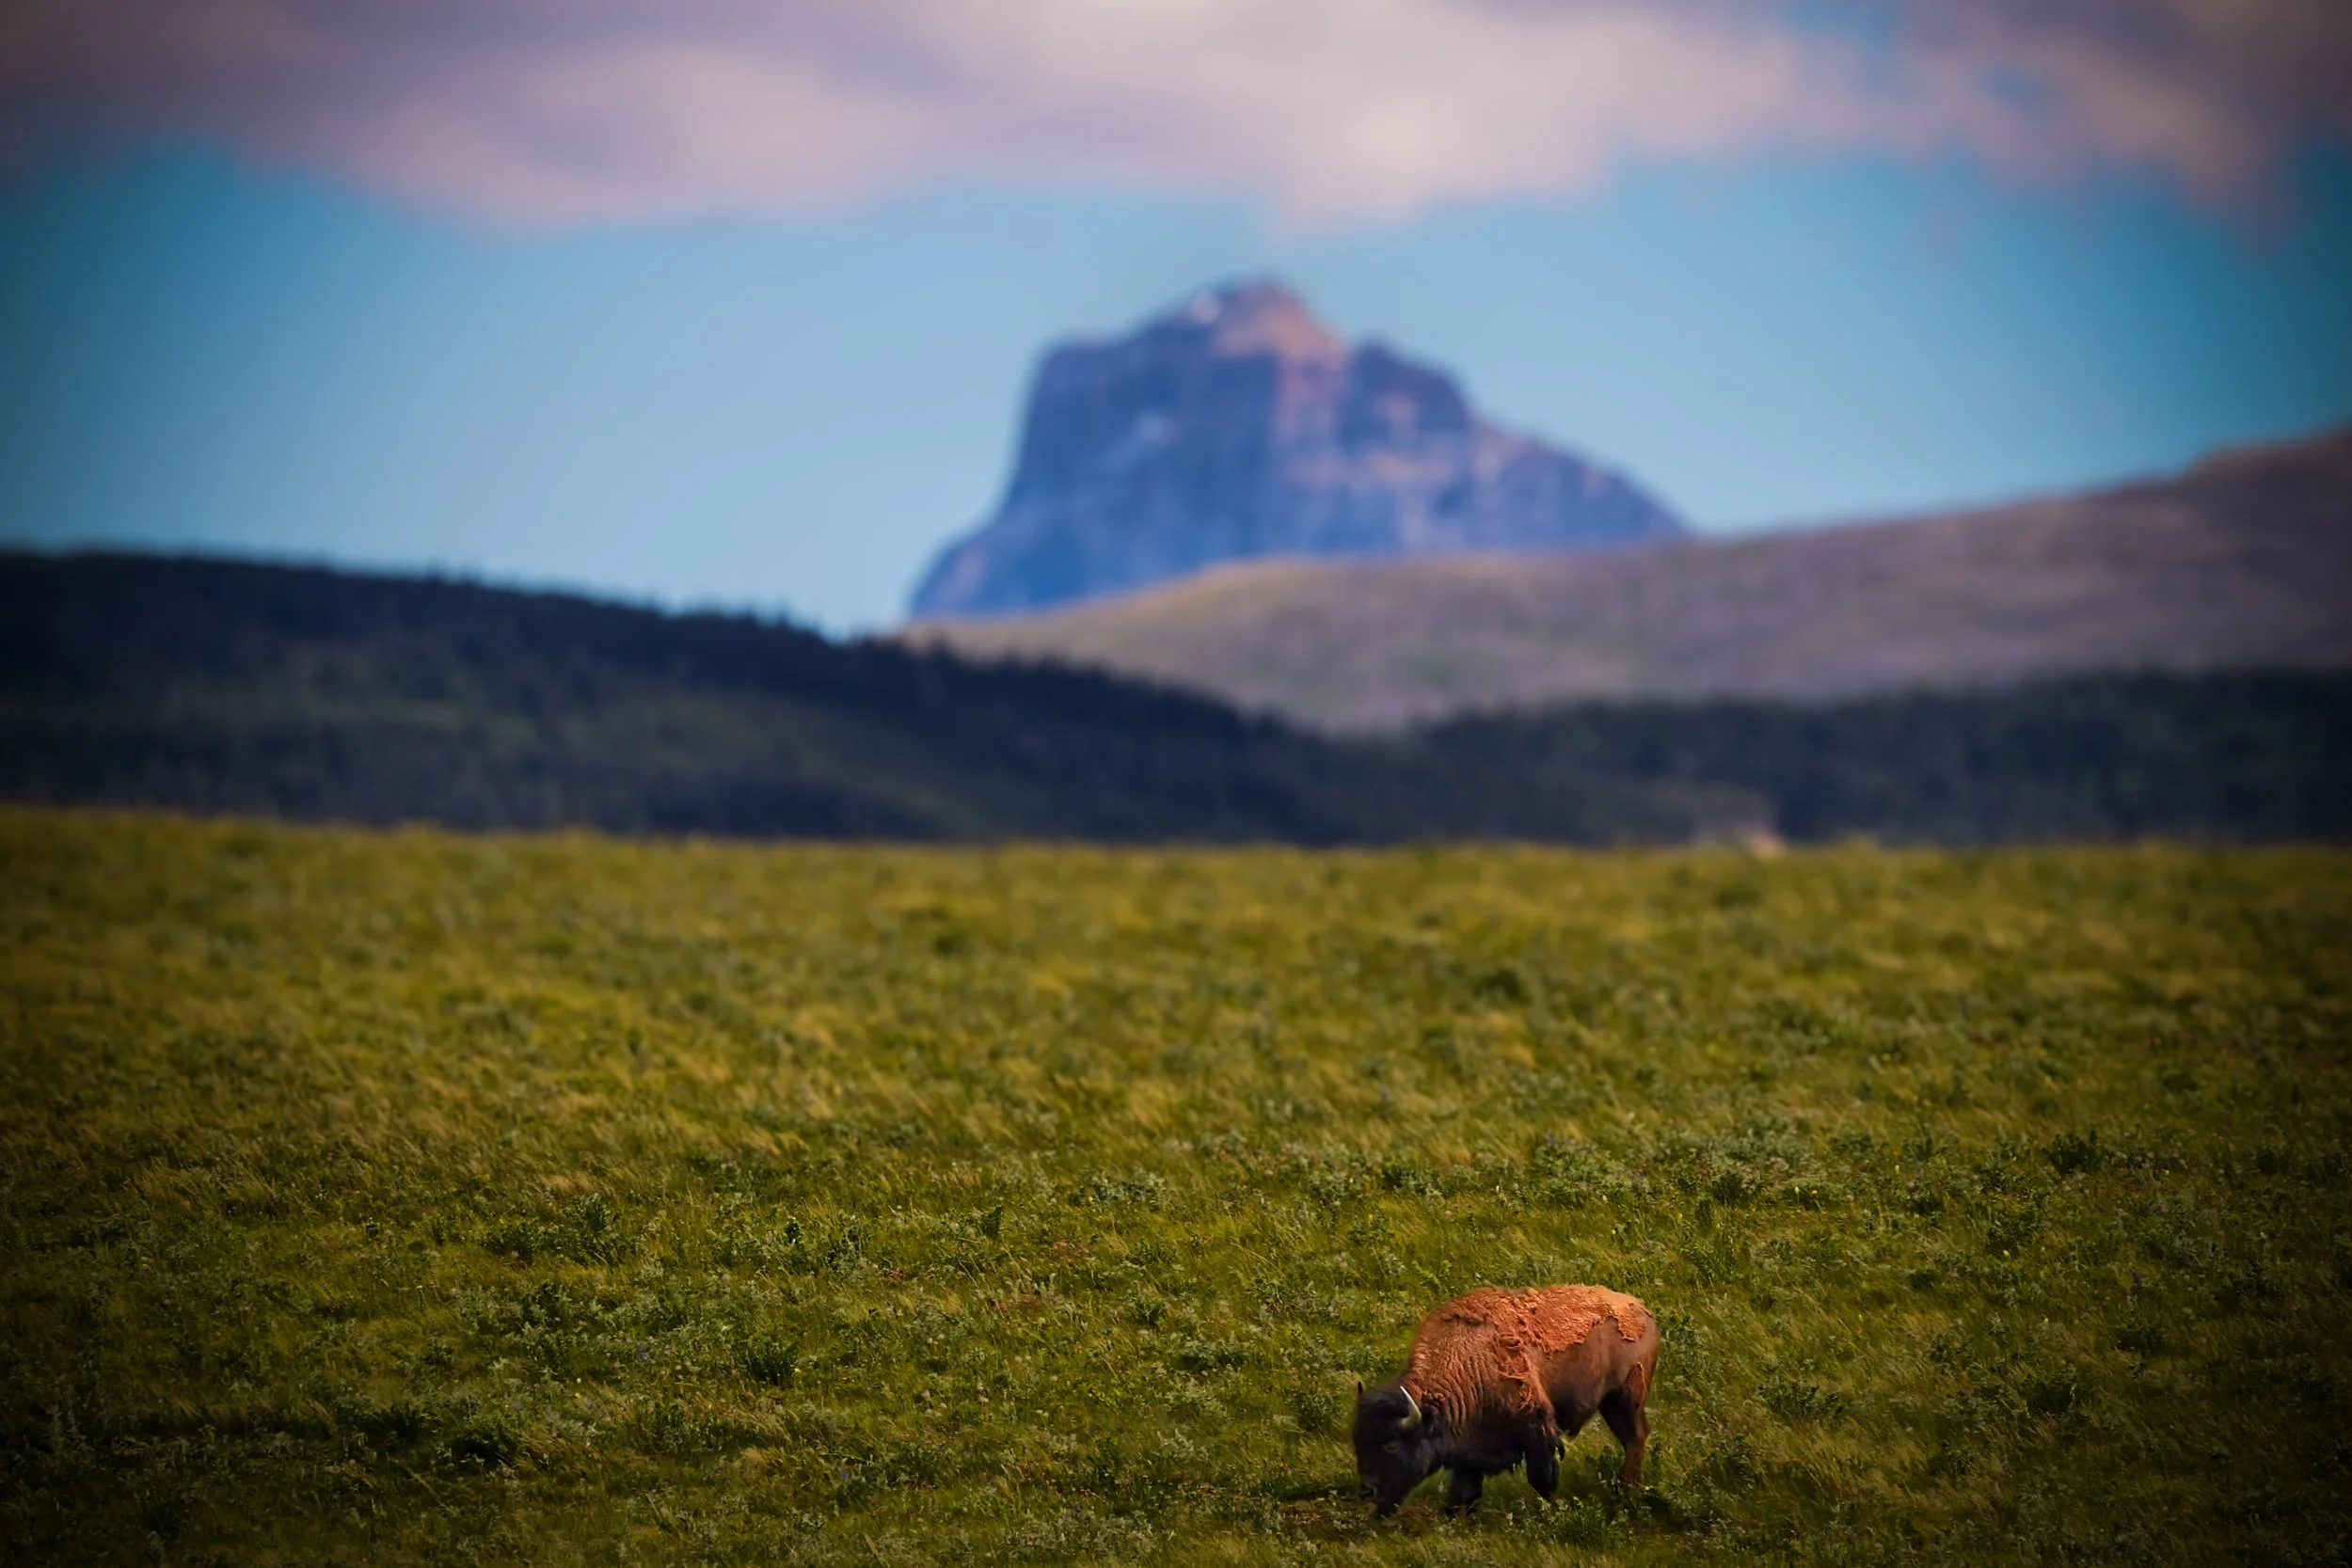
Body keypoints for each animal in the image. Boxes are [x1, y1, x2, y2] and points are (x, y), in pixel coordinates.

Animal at [1352, 1284, 1659, 1515]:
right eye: (1357, 1441)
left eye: (1391, 1443)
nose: (1367, 1490)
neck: (1465, 1363)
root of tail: (1641, 1309)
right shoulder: (1469, 1450)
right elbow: (1463, 1491)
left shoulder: (1538, 1433)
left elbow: (1541, 1480)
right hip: (1612, 1404)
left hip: (1626, 1398)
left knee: (1635, 1437)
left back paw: (1627, 1489)